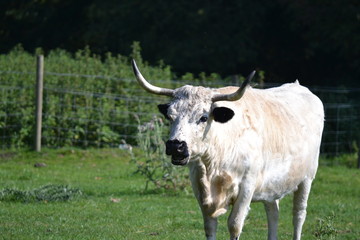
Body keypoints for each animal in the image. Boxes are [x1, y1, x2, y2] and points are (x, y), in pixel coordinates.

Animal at [133, 59, 326, 239]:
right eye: (170, 116)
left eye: (203, 117)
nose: (176, 146)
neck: (213, 165)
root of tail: (299, 86)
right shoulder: (200, 188)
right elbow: (209, 226)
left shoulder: (247, 186)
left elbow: (234, 225)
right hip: (272, 185)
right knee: (273, 213)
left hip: (307, 177)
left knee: (299, 214)